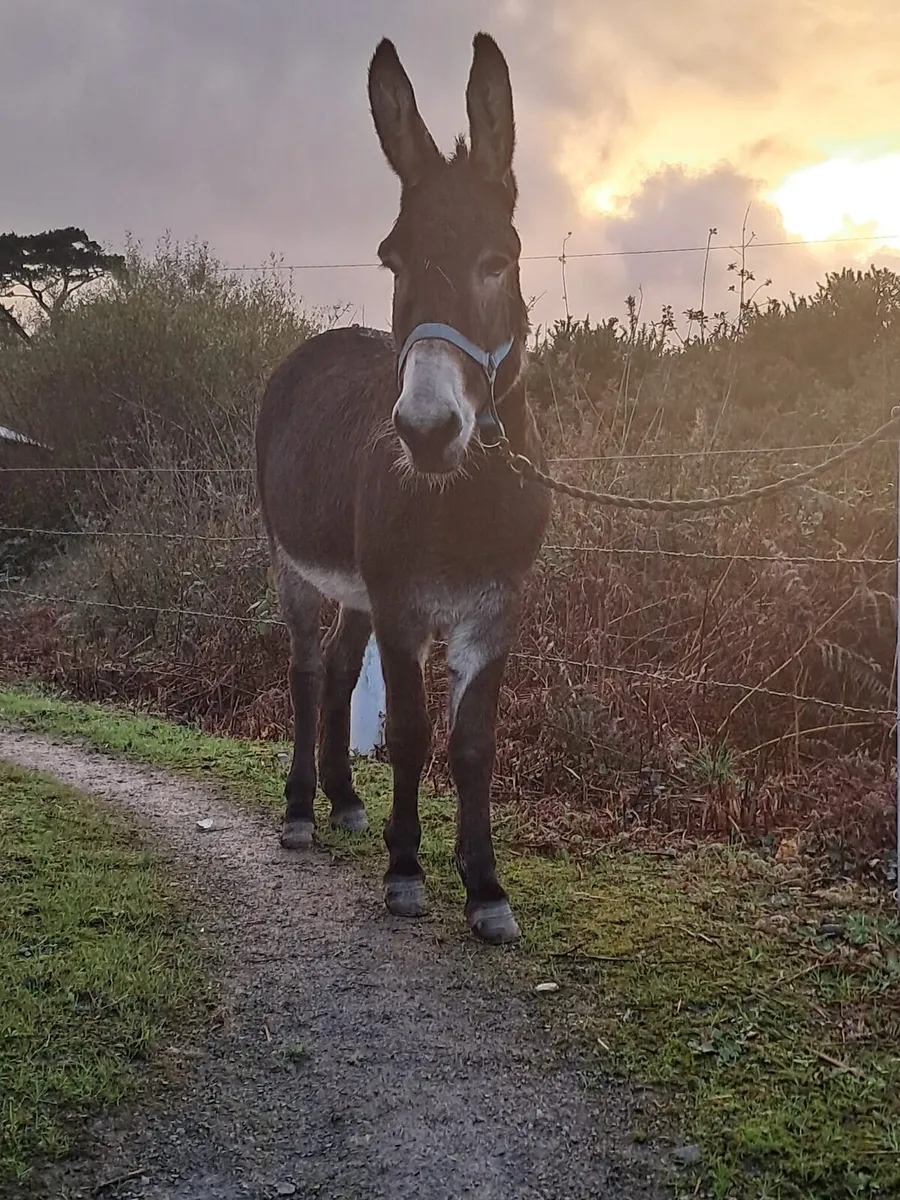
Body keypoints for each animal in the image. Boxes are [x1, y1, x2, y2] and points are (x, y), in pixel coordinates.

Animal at [255, 32, 550, 943]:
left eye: (500, 260)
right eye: (391, 259)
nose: (424, 431)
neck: (468, 498)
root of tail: (316, 343)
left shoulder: (495, 609)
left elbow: (474, 744)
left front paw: (486, 887)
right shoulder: (403, 606)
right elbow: (416, 733)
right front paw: (406, 870)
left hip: (357, 586)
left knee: (341, 668)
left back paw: (345, 801)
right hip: (297, 564)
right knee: (307, 670)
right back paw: (301, 813)